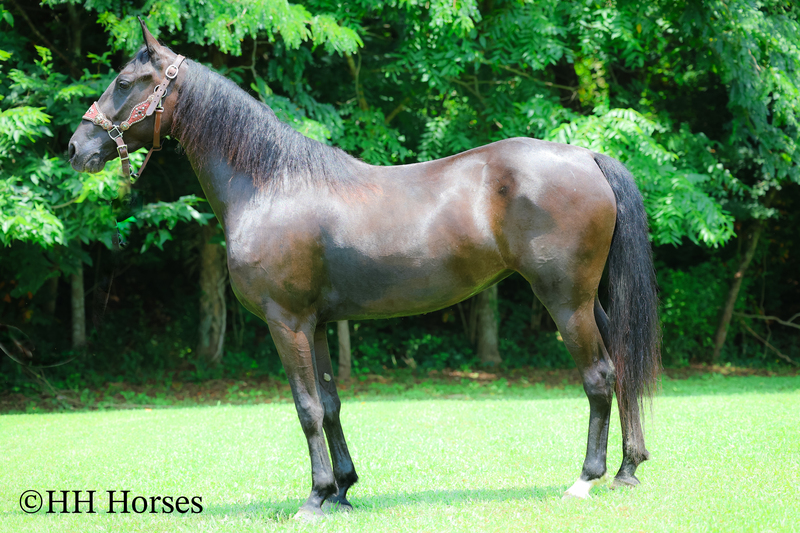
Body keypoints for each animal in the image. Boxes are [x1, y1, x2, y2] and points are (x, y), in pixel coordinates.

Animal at [68, 20, 660, 519]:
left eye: (124, 81)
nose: (77, 147)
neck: (271, 185)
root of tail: (586, 157)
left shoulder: (286, 322)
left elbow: (306, 407)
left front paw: (314, 498)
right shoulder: (317, 324)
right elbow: (330, 404)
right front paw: (343, 490)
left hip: (564, 299)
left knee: (598, 376)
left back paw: (585, 479)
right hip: (588, 300)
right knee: (622, 364)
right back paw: (628, 469)